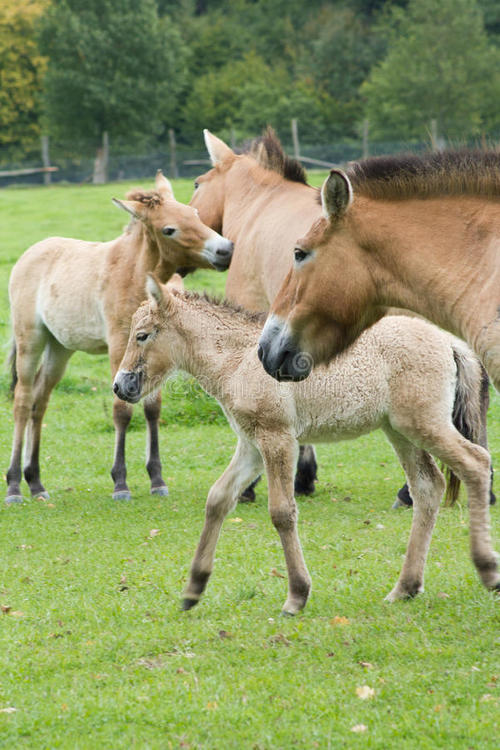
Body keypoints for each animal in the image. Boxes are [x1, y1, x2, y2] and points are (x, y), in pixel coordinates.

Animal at [5, 170, 233, 506]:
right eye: (169, 229)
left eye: (195, 213)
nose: (225, 250)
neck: (134, 275)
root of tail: (31, 253)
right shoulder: (118, 343)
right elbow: (122, 410)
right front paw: (121, 483)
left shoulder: (155, 348)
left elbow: (152, 408)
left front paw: (157, 479)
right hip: (30, 341)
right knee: (22, 401)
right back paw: (14, 487)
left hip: (60, 348)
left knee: (39, 400)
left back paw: (35, 483)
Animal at [113, 280, 500, 612]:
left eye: (142, 335)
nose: (120, 386)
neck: (239, 360)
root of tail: (449, 341)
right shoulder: (251, 445)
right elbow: (218, 499)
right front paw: (194, 588)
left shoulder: (278, 438)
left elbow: (282, 512)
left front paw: (297, 595)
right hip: (400, 431)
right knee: (428, 487)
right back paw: (405, 587)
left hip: (424, 425)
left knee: (476, 463)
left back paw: (486, 569)